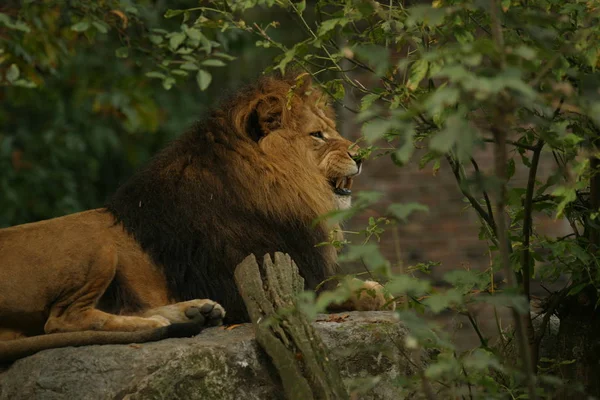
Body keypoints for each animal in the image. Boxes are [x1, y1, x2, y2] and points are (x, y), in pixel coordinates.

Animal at [0, 72, 392, 362]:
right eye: (317, 135)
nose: (361, 156)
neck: (273, 190)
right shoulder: (258, 282)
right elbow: (335, 292)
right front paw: (373, 292)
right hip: (94, 239)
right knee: (60, 321)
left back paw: (194, 313)